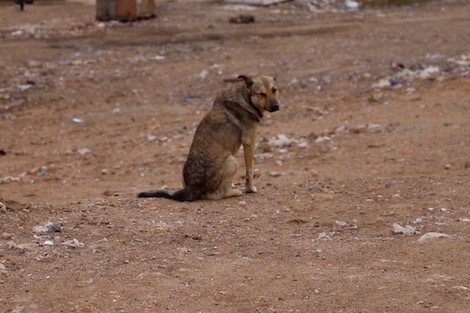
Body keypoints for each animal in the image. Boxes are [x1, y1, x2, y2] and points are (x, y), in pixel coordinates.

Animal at [138, 75, 280, 200]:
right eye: (261, 94)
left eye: (274, 90)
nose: (276, 106)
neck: (245, 98)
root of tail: (192, 188)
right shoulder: (249, 142)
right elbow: (249, 171)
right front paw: (250, 189)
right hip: (232, 160)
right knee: (220, 194)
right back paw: (235, 192)